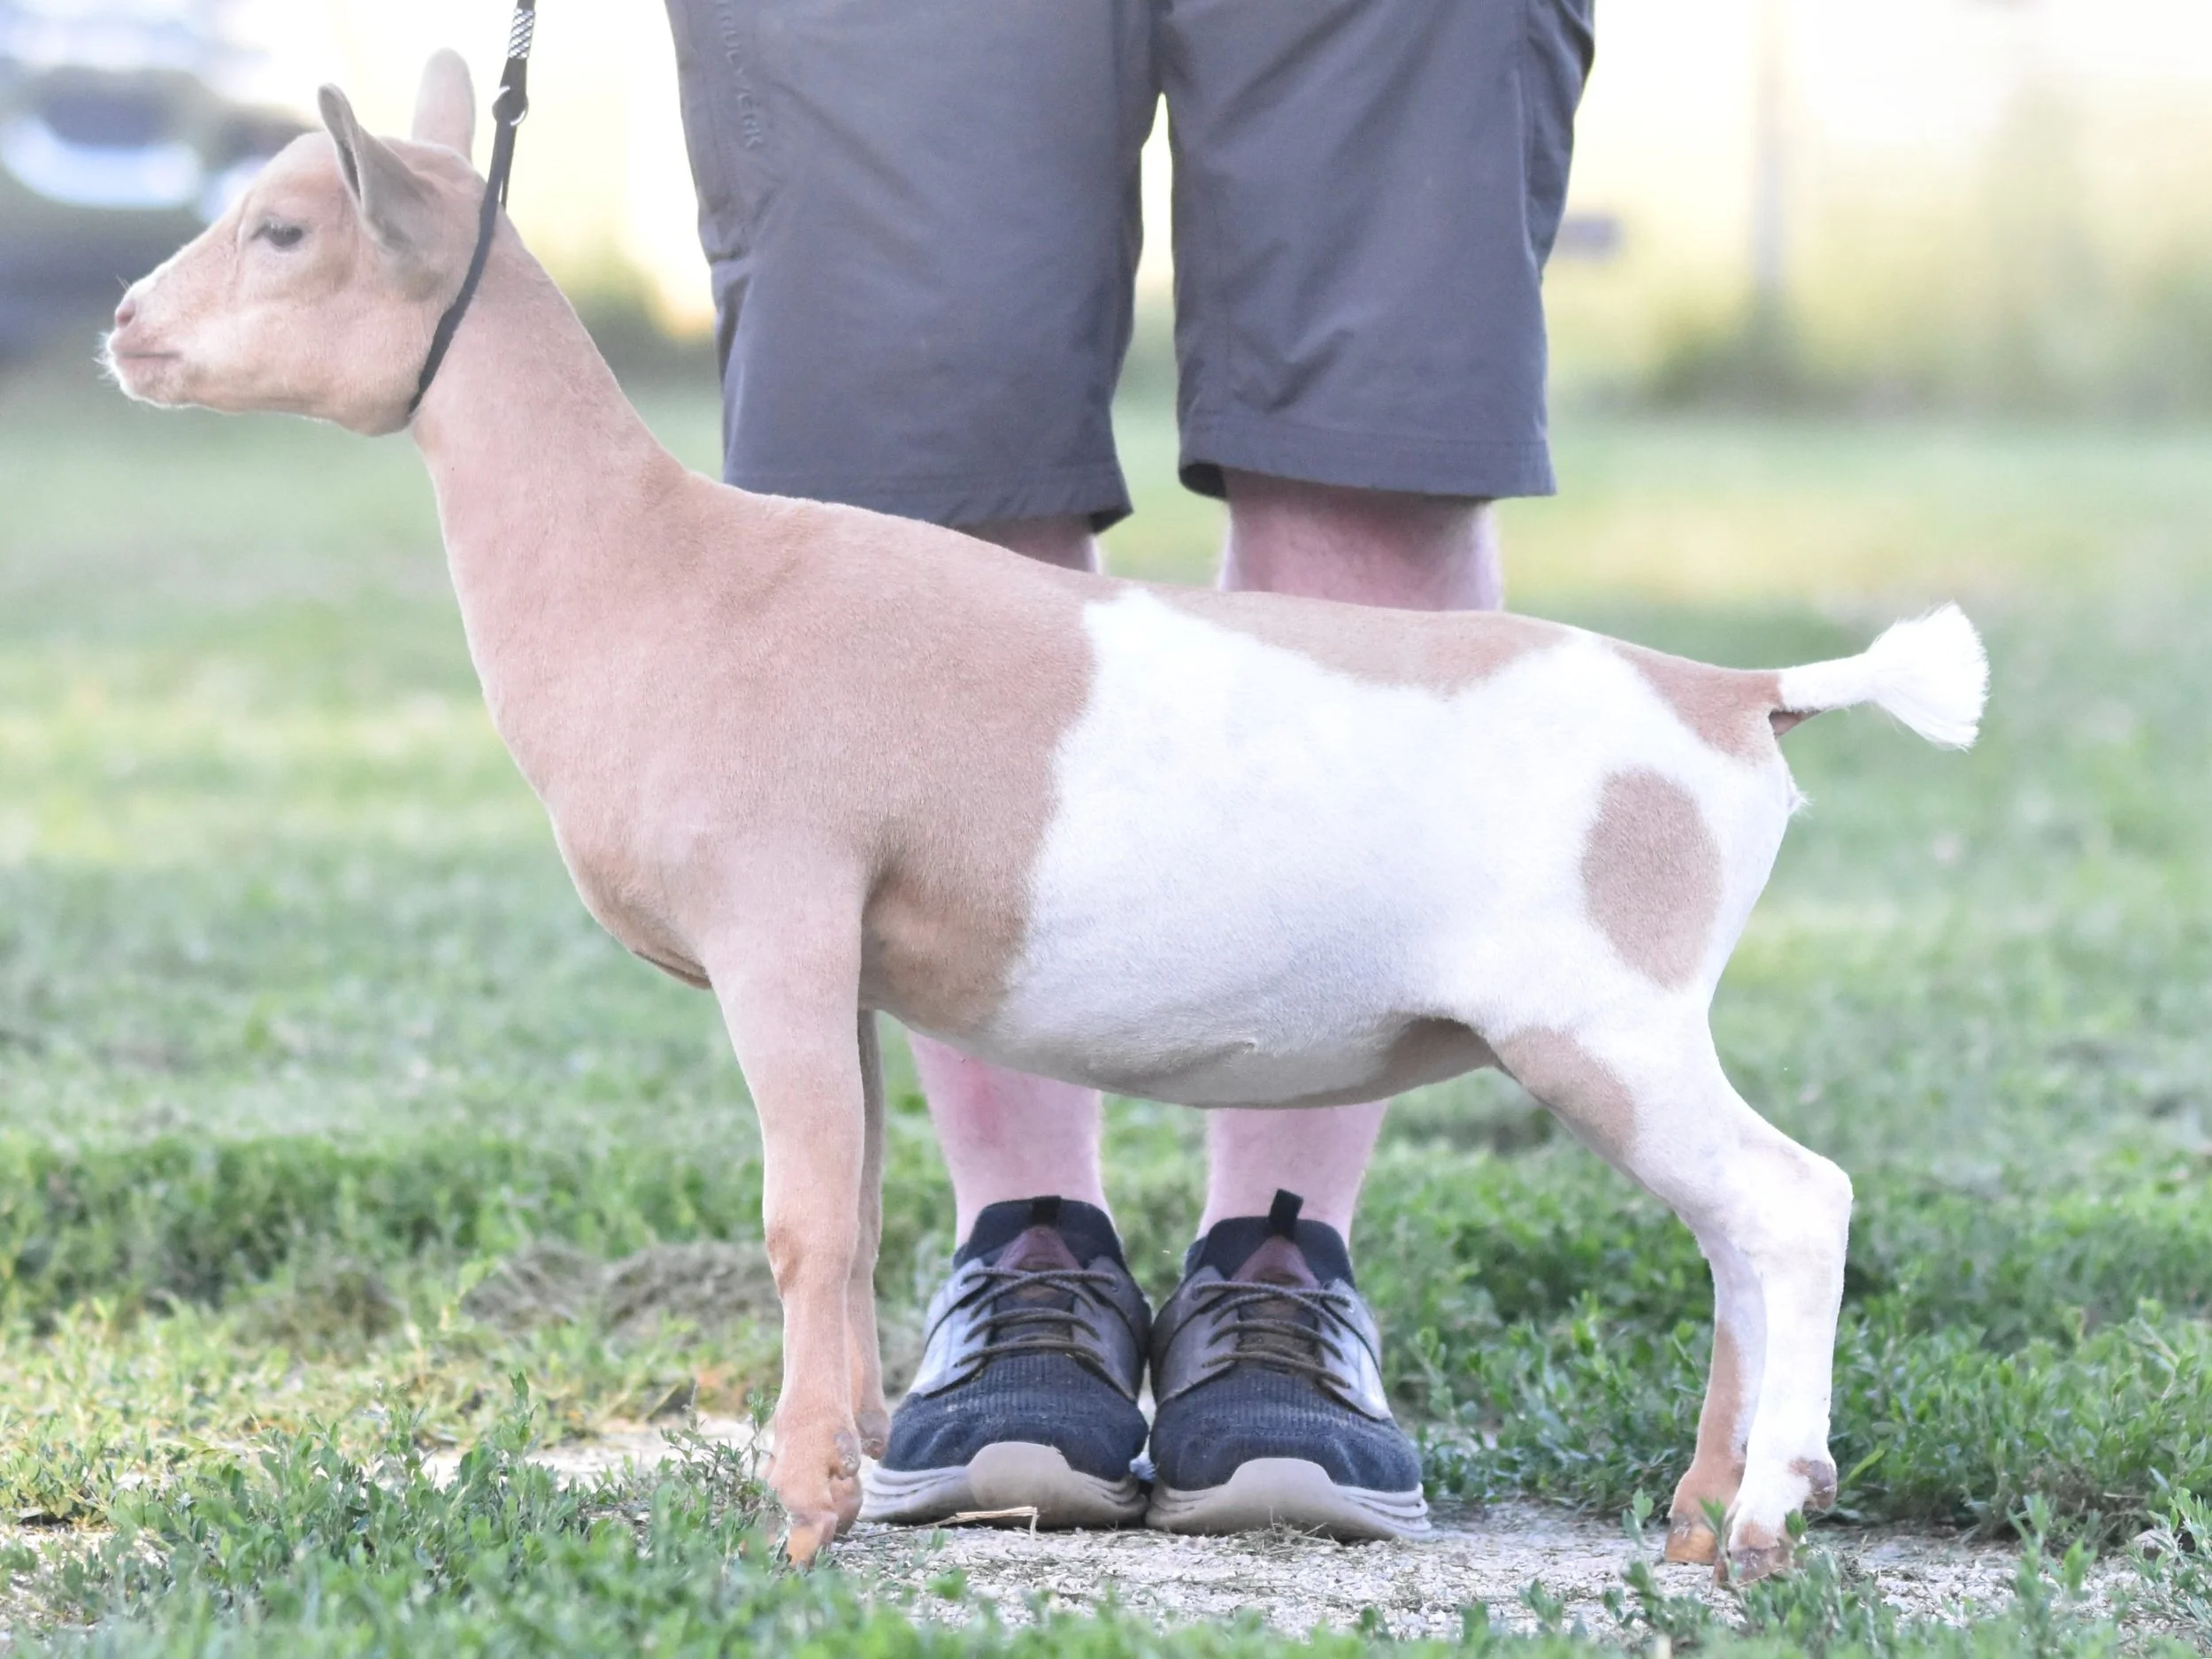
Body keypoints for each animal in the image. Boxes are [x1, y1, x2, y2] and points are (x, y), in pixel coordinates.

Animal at [105, 53, 1988, 1577]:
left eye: (284, 228)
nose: (125, 324)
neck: (671, 569)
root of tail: (1734, 699)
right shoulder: (847, 964)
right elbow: (857, 1206)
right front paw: (862, 1459)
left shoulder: (779, 927)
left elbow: (799, 1219)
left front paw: (801, 1516)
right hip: (1637, 1031)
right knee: (1737, 1237)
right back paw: (1696, 1521)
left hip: (1602, 1014)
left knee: (1790, 1206)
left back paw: (1771, 1512)